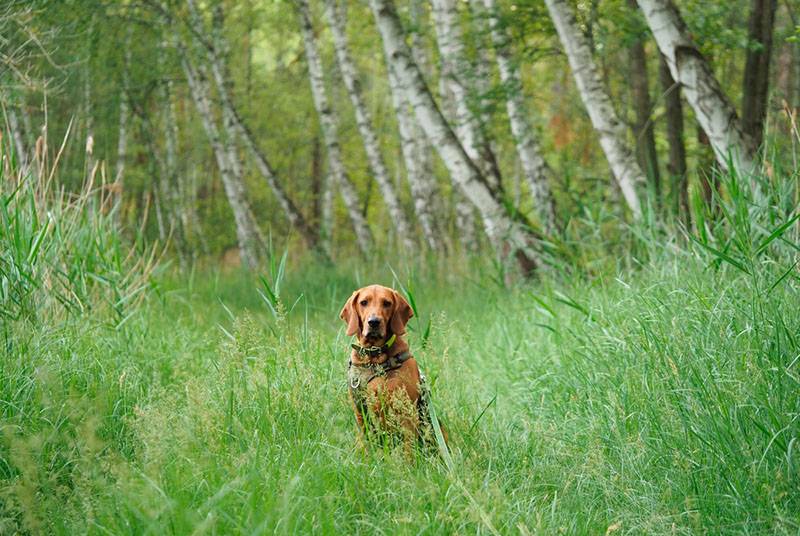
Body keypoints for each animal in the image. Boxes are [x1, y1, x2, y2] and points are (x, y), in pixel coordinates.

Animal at [340, 282, 434, 450]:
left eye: (387, 303)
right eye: (364, 302)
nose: (374, 322)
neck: (374, 358)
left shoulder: (406, 415)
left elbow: (408, 451)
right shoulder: (361, 415)